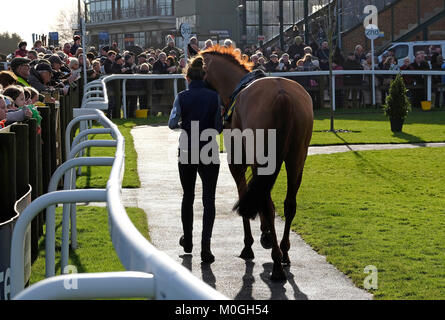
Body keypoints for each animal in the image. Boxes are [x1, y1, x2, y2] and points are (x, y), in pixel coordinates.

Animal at [199, 45, 314, 280]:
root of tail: (282, 96)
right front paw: (266, 235)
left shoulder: (238, 162)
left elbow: (247, 194)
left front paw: (250, 244)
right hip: (297, 158)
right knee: (289, 204)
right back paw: (284, 252)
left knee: (268, 204)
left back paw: (277, 263)